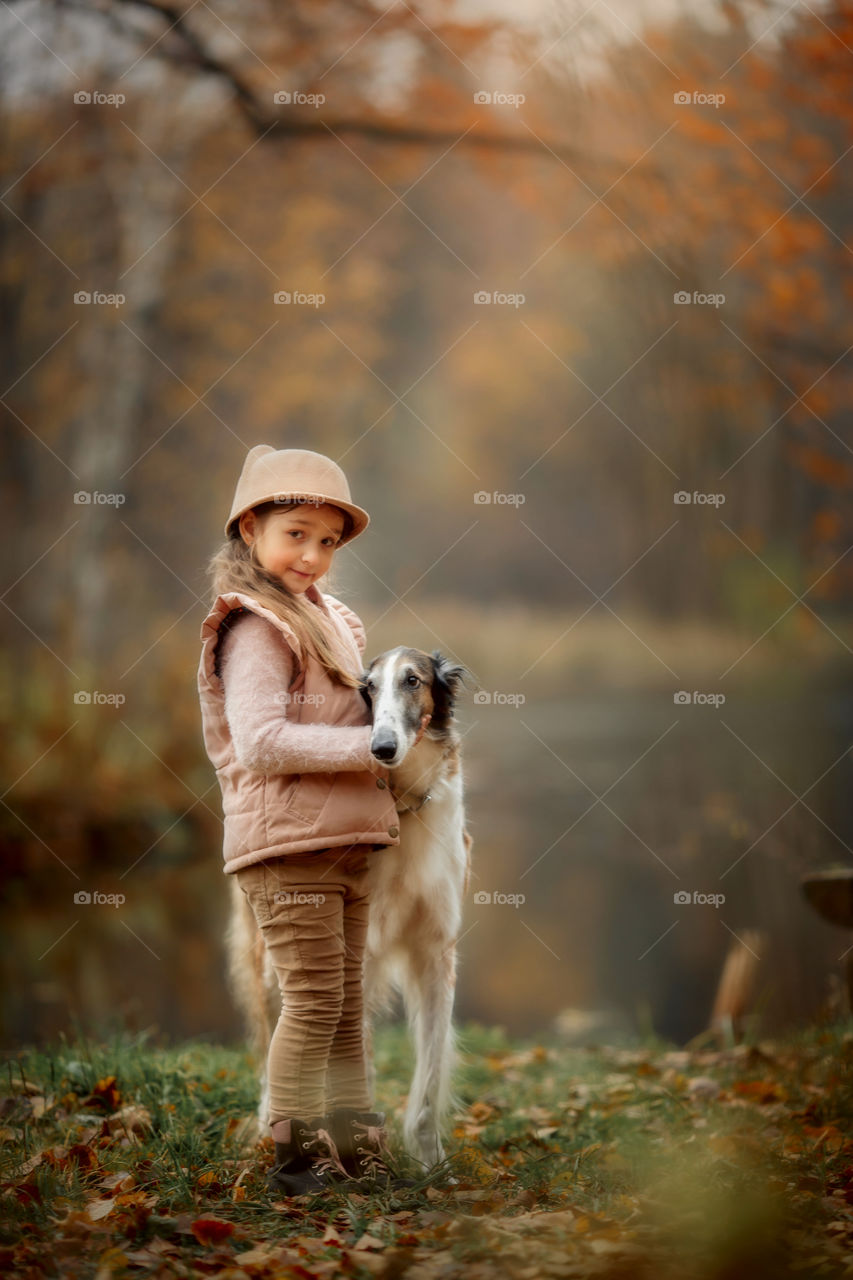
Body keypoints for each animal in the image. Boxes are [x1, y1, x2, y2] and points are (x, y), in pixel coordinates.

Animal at [225, 650, 471, 1172]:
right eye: (368, 688)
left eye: (413, 680)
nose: (381, 748)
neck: (406, 809)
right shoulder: (364, 951)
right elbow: (359, 1063)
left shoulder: (436, 951)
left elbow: (429, 1076)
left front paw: (430, 1163)